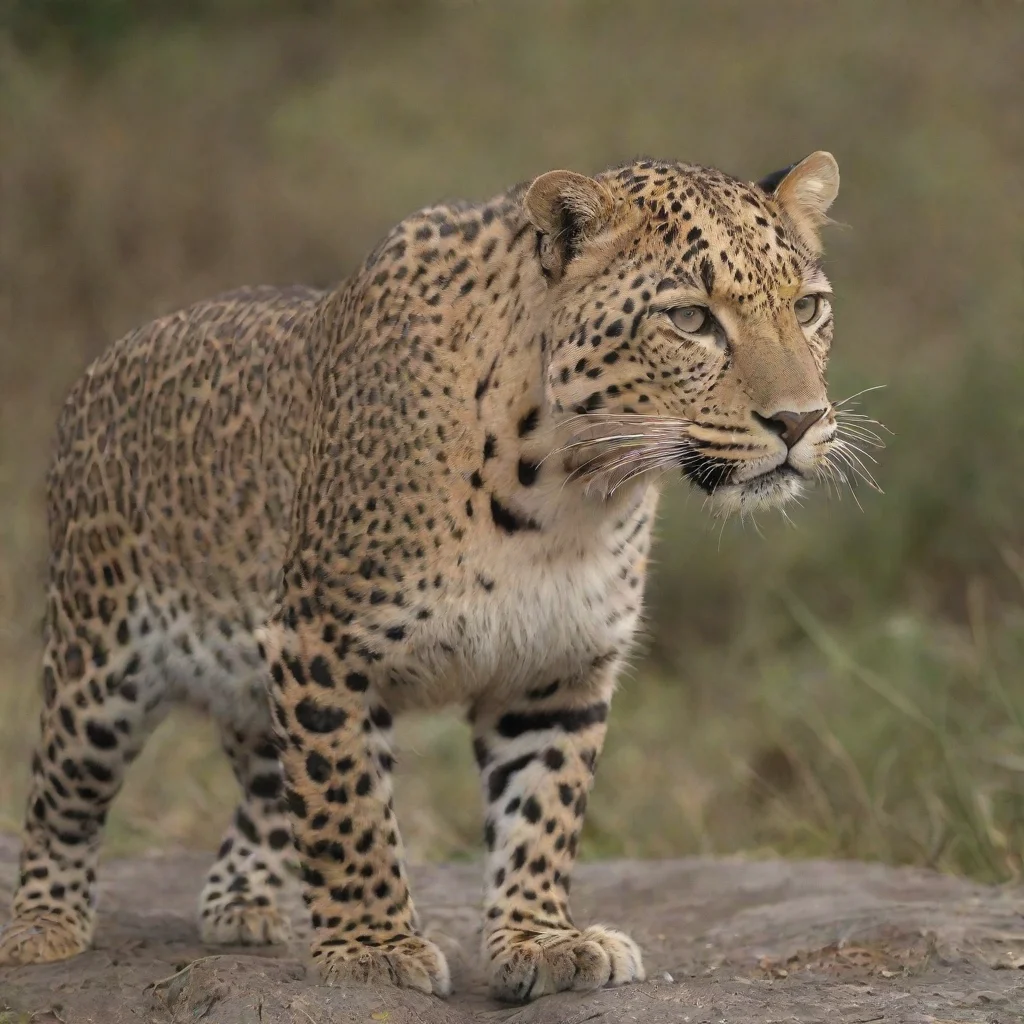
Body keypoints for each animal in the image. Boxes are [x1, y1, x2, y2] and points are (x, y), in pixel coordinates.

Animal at [0, 151, 842, 1002]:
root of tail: (106, 359)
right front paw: (371, 946)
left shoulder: (555, 669)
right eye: (691, 320)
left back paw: (240, 903)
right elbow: (346, 805)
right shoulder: (320, 644)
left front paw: (542, 938)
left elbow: (543, 810)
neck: (569, 494)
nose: (800, 421)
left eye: (807, 308)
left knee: (266, 787)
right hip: (98, 664)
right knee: (60, 796)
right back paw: (43, 926)